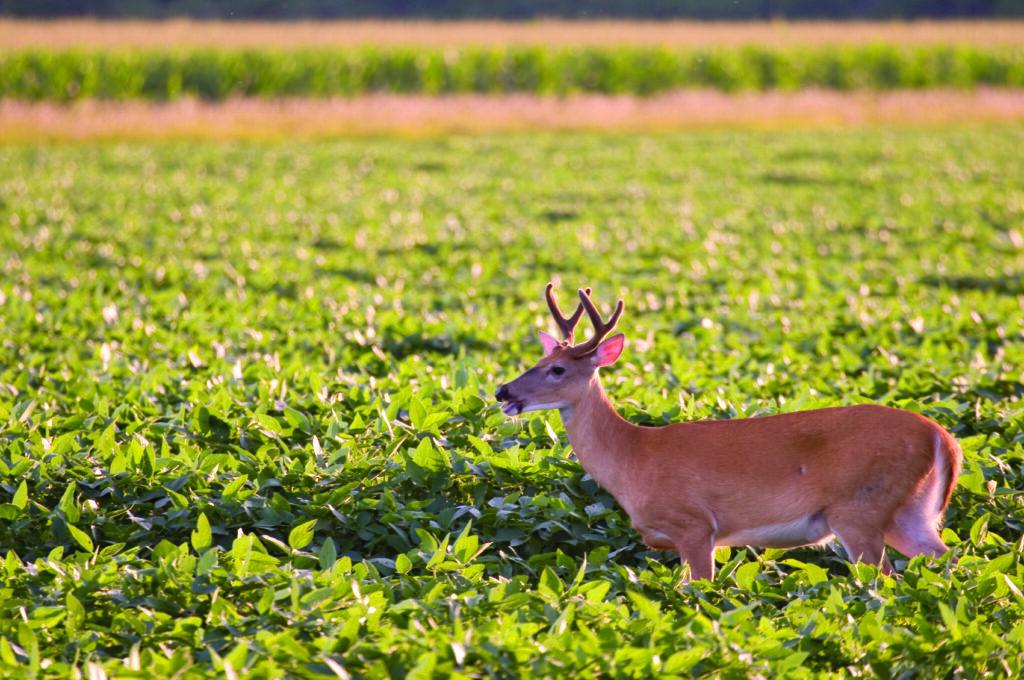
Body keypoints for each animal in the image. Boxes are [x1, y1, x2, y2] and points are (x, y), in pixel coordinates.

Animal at [494, 283, 962, 581]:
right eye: (536, 360)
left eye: (557, 369)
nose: (503, 391)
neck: (633, 458)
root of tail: (943, 438)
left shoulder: (695, 525)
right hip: (912, 514)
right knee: (950, 562)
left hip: (859, 506)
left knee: (885, 580)